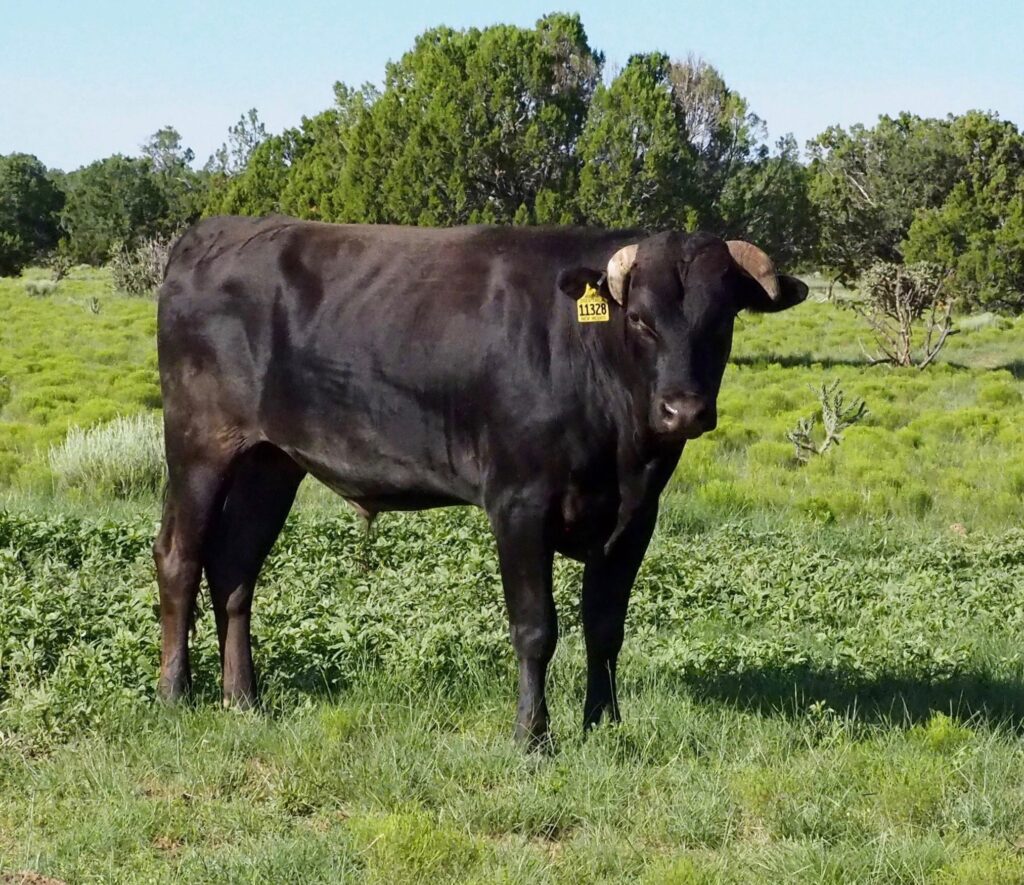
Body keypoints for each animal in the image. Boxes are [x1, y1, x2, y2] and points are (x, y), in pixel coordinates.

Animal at [153, 218, 806, 741]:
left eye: (721, 321)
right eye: (642, 321)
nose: (682, 411)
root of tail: (210, 232)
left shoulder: (635, 519)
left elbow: (605, 628)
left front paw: (603, 723)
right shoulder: (519, 505)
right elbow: (536, 628)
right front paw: (532, 735)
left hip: (271, 462)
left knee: (235, 569)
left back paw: (243, 698)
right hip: (198, 447)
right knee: (179, 558)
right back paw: (175, 693)